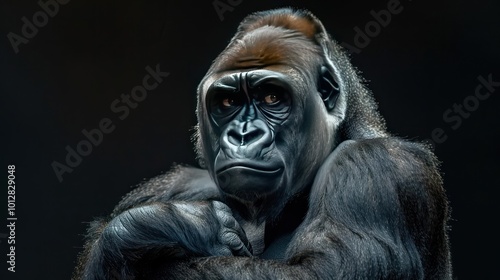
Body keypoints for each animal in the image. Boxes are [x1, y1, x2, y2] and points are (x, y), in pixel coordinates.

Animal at [74, 7, 454, 280]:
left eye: (272, 97)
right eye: (227, 103)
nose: (243, 134)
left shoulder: (377, 165)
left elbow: (319, 274)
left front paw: (150, 229)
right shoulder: (170, 185)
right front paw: (170, 225)